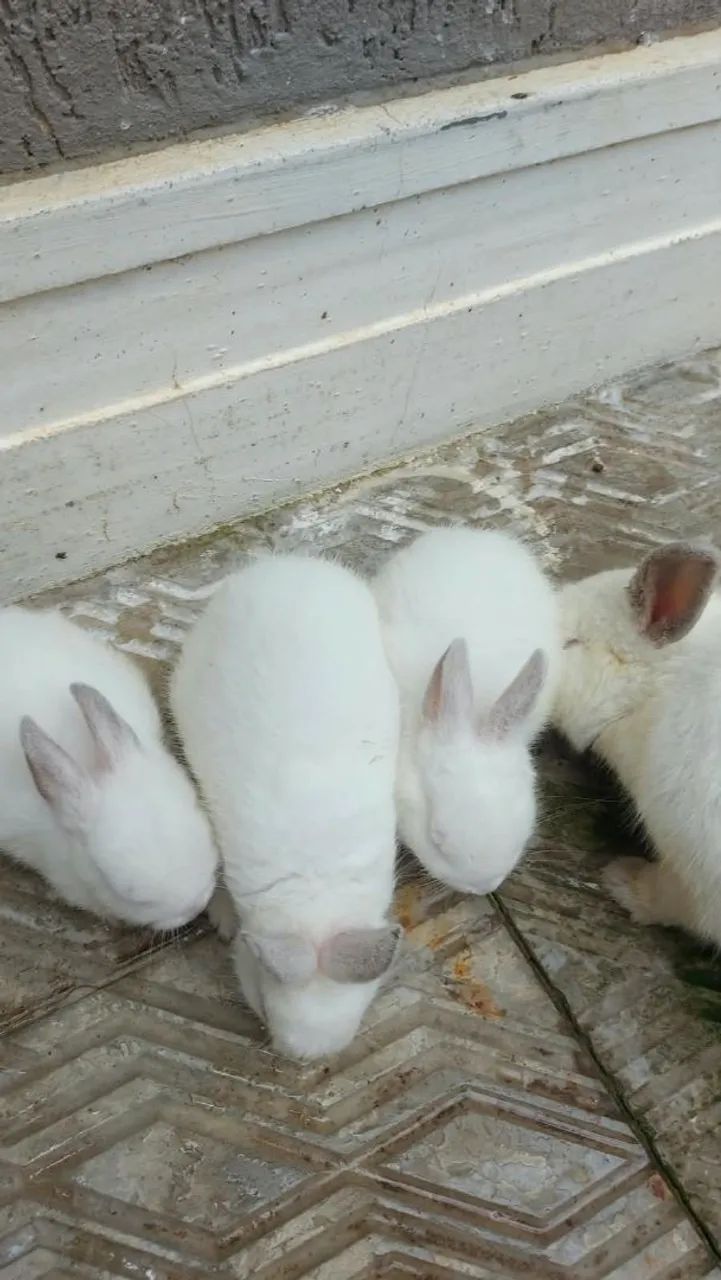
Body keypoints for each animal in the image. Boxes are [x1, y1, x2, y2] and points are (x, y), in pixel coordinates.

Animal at [170, 554, 402, 1061]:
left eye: (360, 1012)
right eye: (262, 1003)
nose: (300, 1058)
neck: (317, 894)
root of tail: (285, 566)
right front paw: (224, 921)